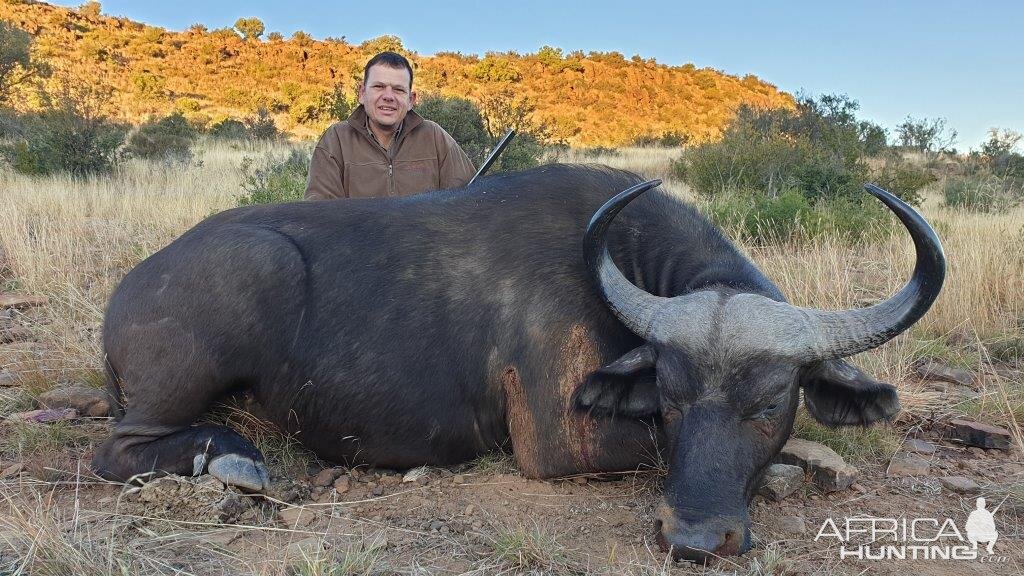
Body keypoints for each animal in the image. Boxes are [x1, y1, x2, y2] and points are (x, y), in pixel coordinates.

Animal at [96, 163, 942, 557]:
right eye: (667, 396)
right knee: (120, 450)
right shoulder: (561, 442)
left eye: (770, 400)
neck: (615, 258)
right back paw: (231, 459)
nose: (695, 540)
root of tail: (127, 291)